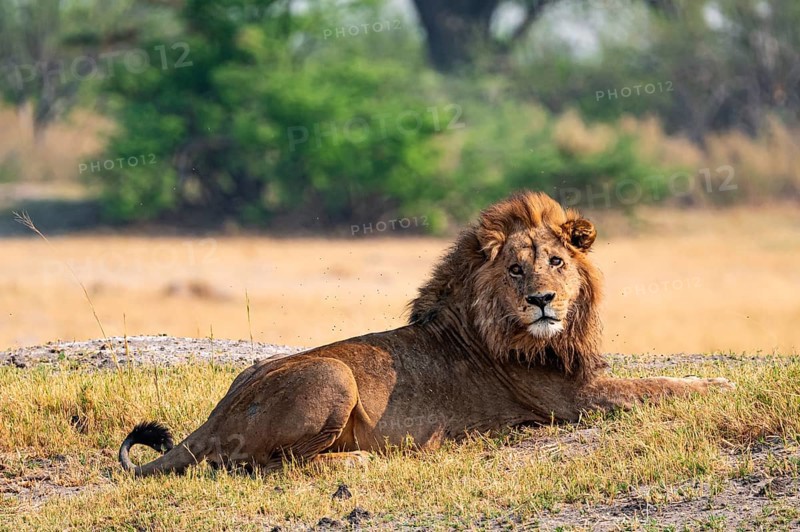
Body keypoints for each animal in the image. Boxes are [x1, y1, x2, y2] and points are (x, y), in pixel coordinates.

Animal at [119, 191, 734, 476]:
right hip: (335, 375)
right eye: (517, 270)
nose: (542, 300)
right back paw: (358, 461)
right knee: (262, 465)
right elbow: (657, 388)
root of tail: (217, 414)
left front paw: (713, 379)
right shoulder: (574, 400)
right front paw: (720, 388)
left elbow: (663, 379)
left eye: (557, 263)